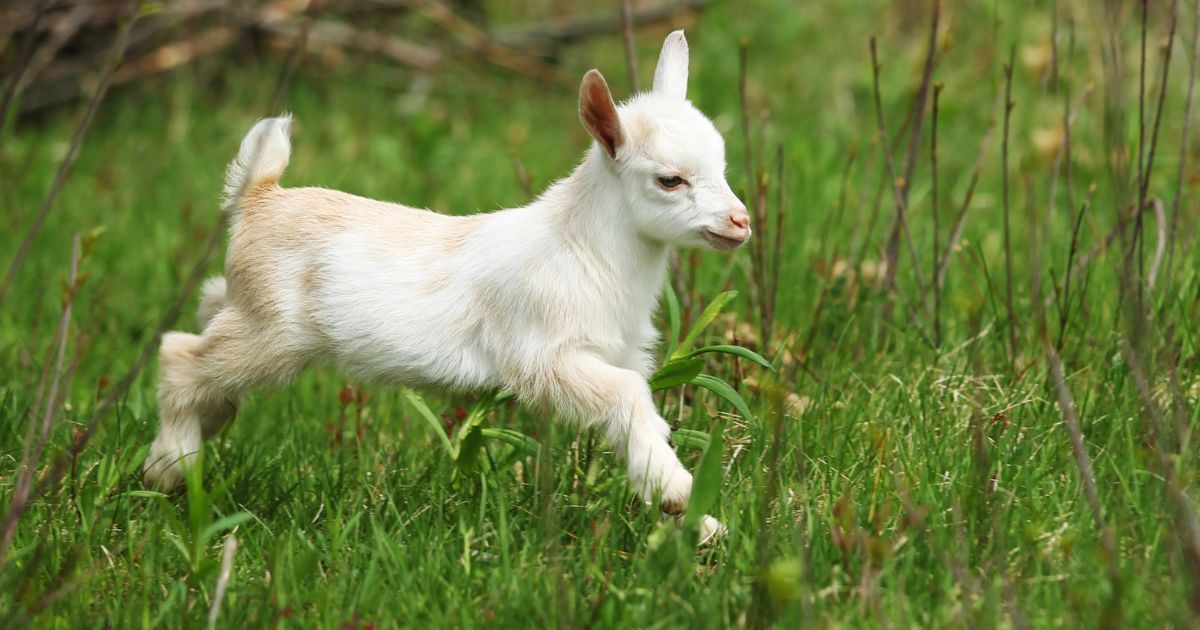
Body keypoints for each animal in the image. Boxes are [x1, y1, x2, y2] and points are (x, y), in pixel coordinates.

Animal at [144, 30, 750, 541]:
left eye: (723, 163)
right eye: (669, 179)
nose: (741, 222)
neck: (585, 250)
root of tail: (260, 192)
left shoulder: (617, 352)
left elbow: (638, 411)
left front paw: (699, 524)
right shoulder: (544, 357)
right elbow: (628, 397)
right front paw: (680, 492)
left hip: (250, 309)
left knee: (208, 309)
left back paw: (211, 419)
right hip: (272, 333)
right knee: (179, 353)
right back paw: (170, 467)